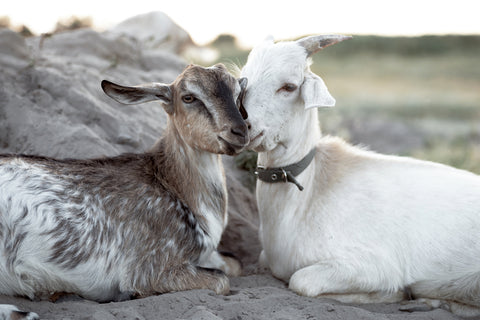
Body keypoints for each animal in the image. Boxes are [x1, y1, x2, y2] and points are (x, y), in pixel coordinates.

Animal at [0, 64, 248, 312]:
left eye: (238, 94)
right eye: (189, 97)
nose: (240, 131)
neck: (173, 186)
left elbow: (235, 264)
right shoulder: (151, 270)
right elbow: (221, 281)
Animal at [240, 34, 480, 316]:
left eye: (289, 86)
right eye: (244, 79)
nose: (244, 125)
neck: (311, 192)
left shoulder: (375, 265)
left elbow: (301, 281)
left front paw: (392, 293)